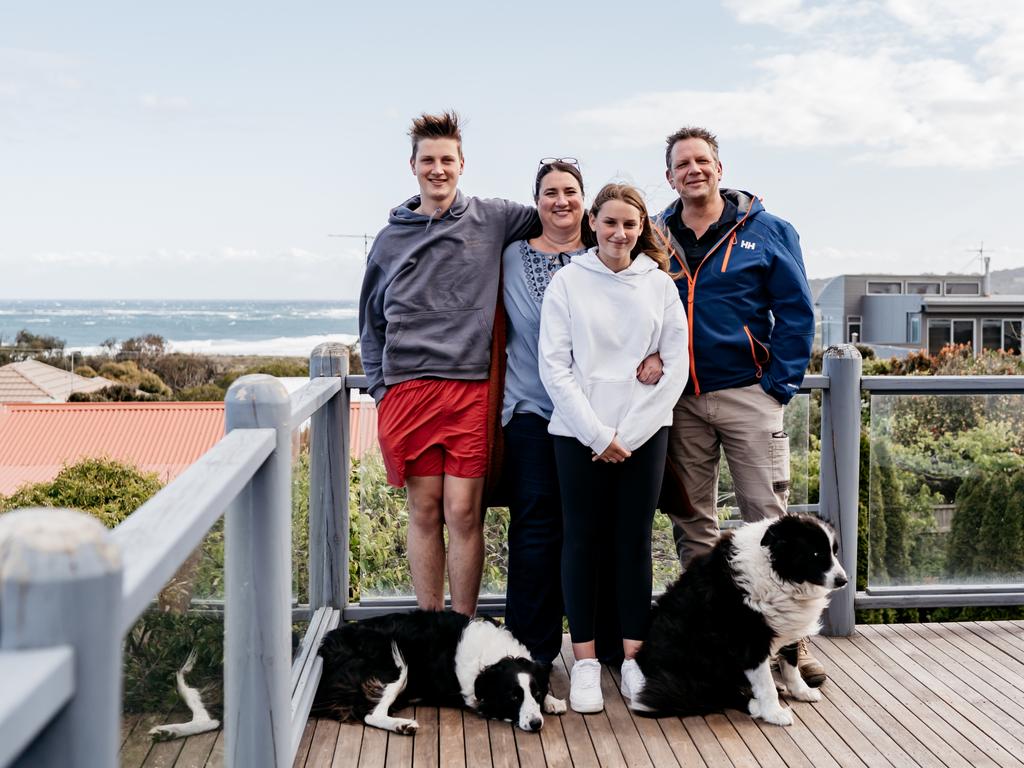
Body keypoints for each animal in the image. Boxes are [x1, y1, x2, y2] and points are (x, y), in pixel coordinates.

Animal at [311, 614, 569, 733]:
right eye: (513, 697)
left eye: (536, 693)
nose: (536, 723)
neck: (497, 656)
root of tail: (325, 644)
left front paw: (552, 701)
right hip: (395, 663)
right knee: (370, 714)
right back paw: (402, 725)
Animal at [630, 518, 847, 729]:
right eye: (816, 553)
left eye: (834, 552)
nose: (843, 580)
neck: (776, 575)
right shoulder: (750, 641)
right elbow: (766, 685)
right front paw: (774, 713)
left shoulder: (788, 622)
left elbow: (791, 665)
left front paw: (801, 691)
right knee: (713, 695)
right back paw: (757, 706)